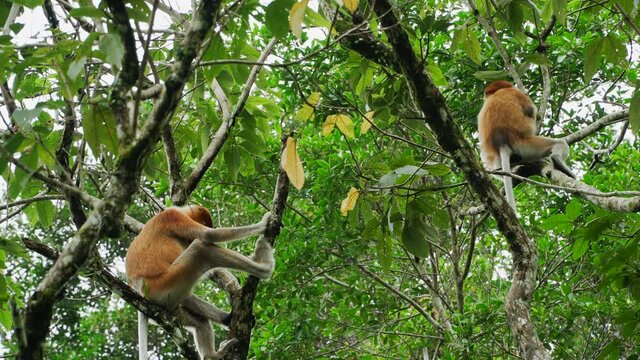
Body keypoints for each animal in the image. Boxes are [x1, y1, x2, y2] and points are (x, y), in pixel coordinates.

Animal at [126, 205, 274, 360]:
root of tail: (139, 291)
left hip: (169, 304)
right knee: (201, 248)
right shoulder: (172, 216)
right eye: (203, 222)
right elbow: (209, 235)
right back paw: (265, 267)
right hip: (163, 286)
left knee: (197, 318)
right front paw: (263, 223)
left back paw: (214, 347)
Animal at [476, 81, 576, 214]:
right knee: (561, 144)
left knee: (489, 165)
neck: (499, 91)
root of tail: (501, 141)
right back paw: (557, 161)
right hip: (527, 146)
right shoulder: (518, 93)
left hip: (494, 156)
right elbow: (530, 110)